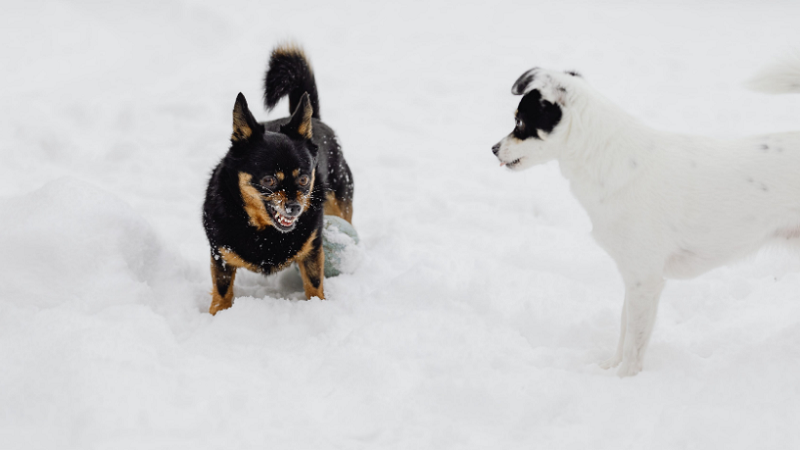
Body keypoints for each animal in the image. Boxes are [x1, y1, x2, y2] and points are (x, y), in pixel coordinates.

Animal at [205, 44, 354, 314]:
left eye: (304, 179)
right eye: (268, 180)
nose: (294, 207)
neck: (265, 232)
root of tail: (315, 118)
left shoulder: (312, 250)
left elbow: (315, 286)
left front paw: (318, 309)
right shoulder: (220, 256)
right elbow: (222, 293)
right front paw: (217, 316)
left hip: (341, 202)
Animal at [494, 59, 800, 376]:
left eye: (520, 123)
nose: (493, 150)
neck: (604, 157)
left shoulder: (645, 279)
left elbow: (634, 341)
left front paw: (625, 377)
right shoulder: (633, 276)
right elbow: (624, 328)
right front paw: (611, 369)